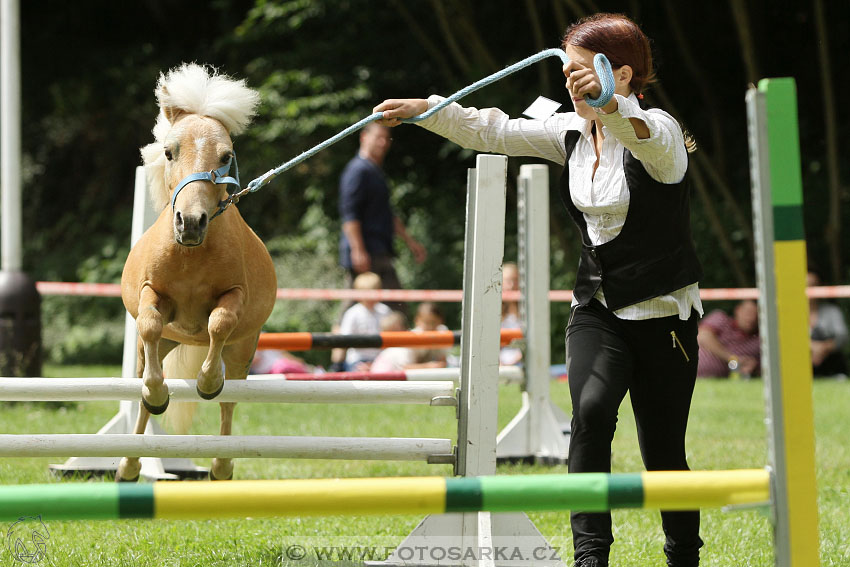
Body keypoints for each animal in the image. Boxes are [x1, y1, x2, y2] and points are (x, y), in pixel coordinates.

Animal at [118, 65, 274, 484]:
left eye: (226, 155)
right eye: (169, 151)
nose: (190, 222)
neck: (190, 254)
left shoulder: (234, 297)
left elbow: (219, 323)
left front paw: (207, 383)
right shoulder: (151, 294)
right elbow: (151, 324)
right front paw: (159, 395)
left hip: (243, 352)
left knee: (230, 401)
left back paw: (221, 465)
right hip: (154, 350)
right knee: (141, 396)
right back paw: (129, 463)